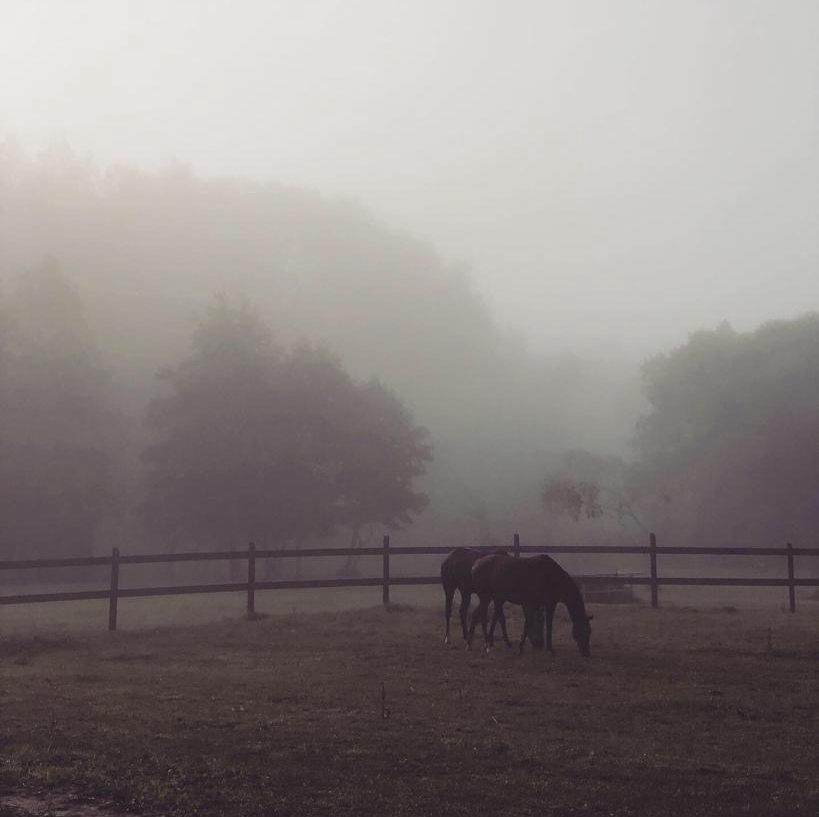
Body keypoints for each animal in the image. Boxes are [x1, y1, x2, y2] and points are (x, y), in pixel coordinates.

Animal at [468, 552, 596, 652]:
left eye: (590, 631)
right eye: (585, 631)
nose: (587, 652)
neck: (553, 578)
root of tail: (475, 565)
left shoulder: (544, 604)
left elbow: (544, 624)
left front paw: (547, 647)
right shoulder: (535, 603)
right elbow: (532, 623)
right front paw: (523, 646)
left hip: (495, 598)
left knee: (489, 616)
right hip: (485, 597)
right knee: (483, 617)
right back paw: (486, 644)